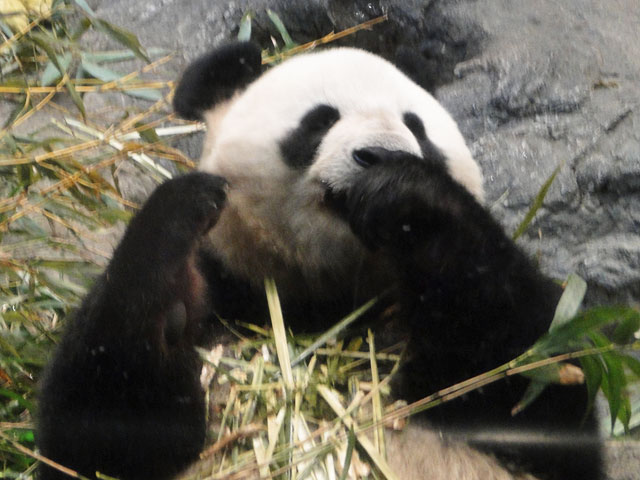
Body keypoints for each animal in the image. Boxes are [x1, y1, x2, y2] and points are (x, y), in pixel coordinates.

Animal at [37, 42, 602, 480]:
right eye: (321, 120)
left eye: (417, 128)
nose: (380, 154)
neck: (327, 295)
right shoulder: (230, 289)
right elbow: (97, 437)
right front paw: (175, 276)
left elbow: (535, 383)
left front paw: (406, 195)